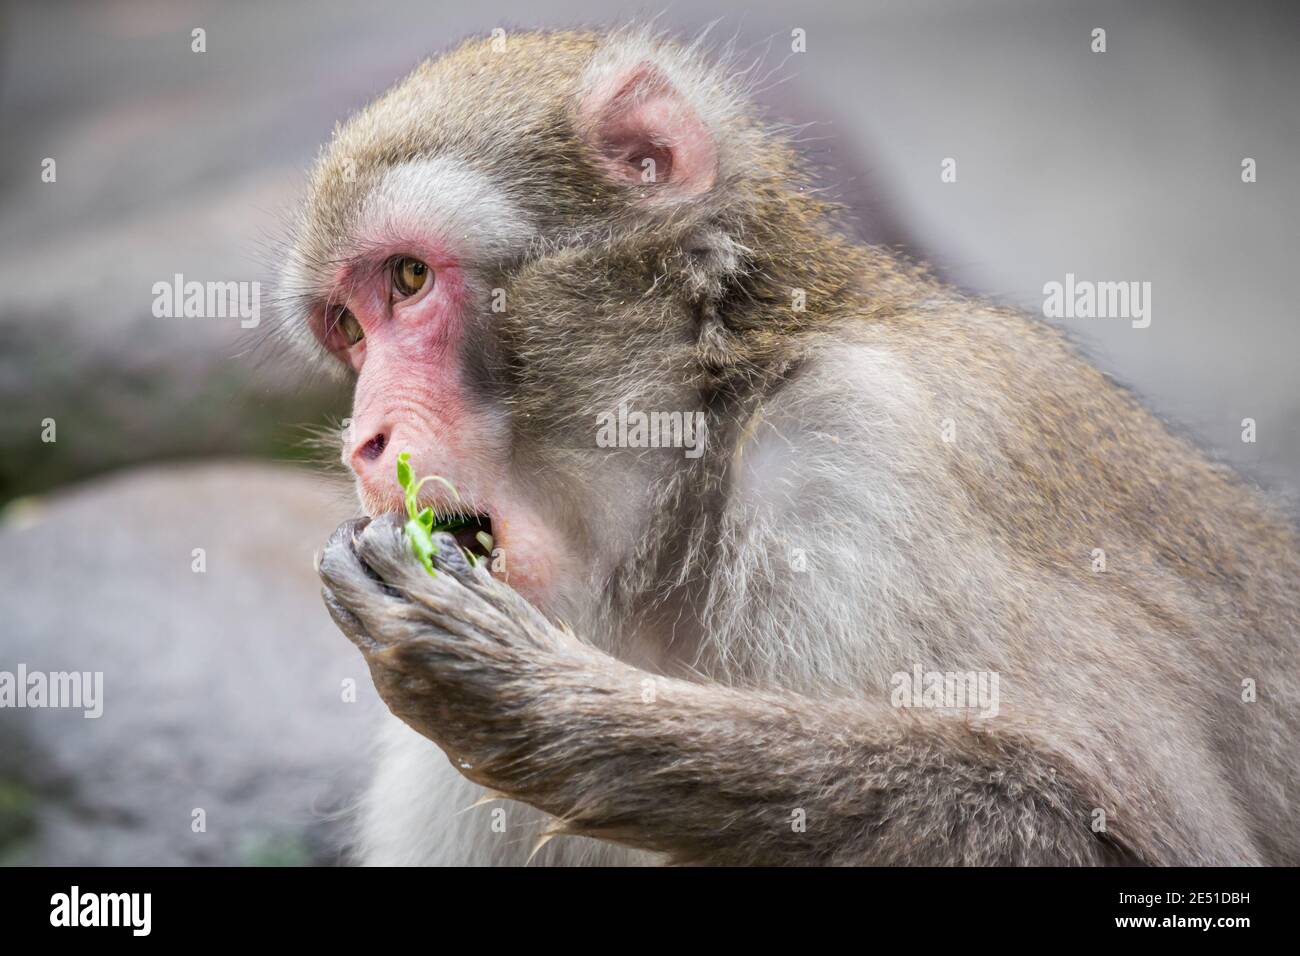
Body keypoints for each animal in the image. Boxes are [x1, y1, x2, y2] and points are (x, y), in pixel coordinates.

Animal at [276, 29, 1300, 868]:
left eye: (410, 280)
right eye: (349, 329)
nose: (364, 442)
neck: (702, 452)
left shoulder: (870, 448)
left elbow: (1129, 835)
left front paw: (527, 700)